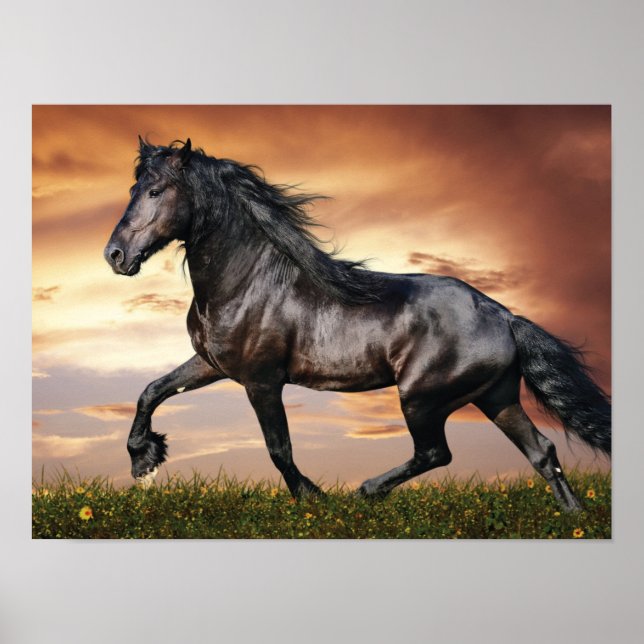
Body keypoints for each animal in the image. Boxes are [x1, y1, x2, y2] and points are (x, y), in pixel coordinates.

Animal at [104, 138, 611, 512]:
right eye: (132, 190)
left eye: (155, 191)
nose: (115, 256)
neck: (249, 281)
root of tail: (504, 315)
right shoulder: (213, 364)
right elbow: (152, 390)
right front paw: (144, 459)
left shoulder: (261, 381)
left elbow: (279, 449)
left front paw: (313, 499)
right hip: (495, 397)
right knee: (542, 453)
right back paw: (574, 518)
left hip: (422, 398)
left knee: (436, 453)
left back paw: (365, 491)